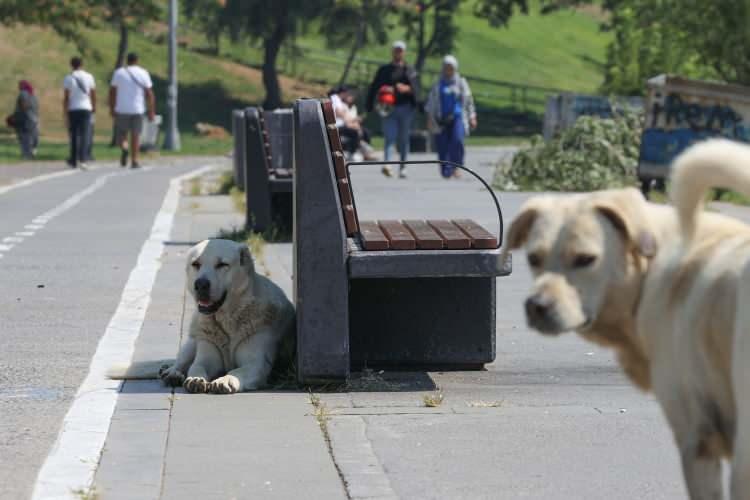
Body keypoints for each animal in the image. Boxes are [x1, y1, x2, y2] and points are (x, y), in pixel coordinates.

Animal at [109, 239, 296, 394]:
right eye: (196, 264)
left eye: (222, 264)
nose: (200, 284)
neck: (227, 318)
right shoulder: (207, 354)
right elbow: (197, 366)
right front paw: (196, 379)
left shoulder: (256, 364)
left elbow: (237, 371)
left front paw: (225, 380)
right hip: (194, 338)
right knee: (182, 361)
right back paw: (172, 373)